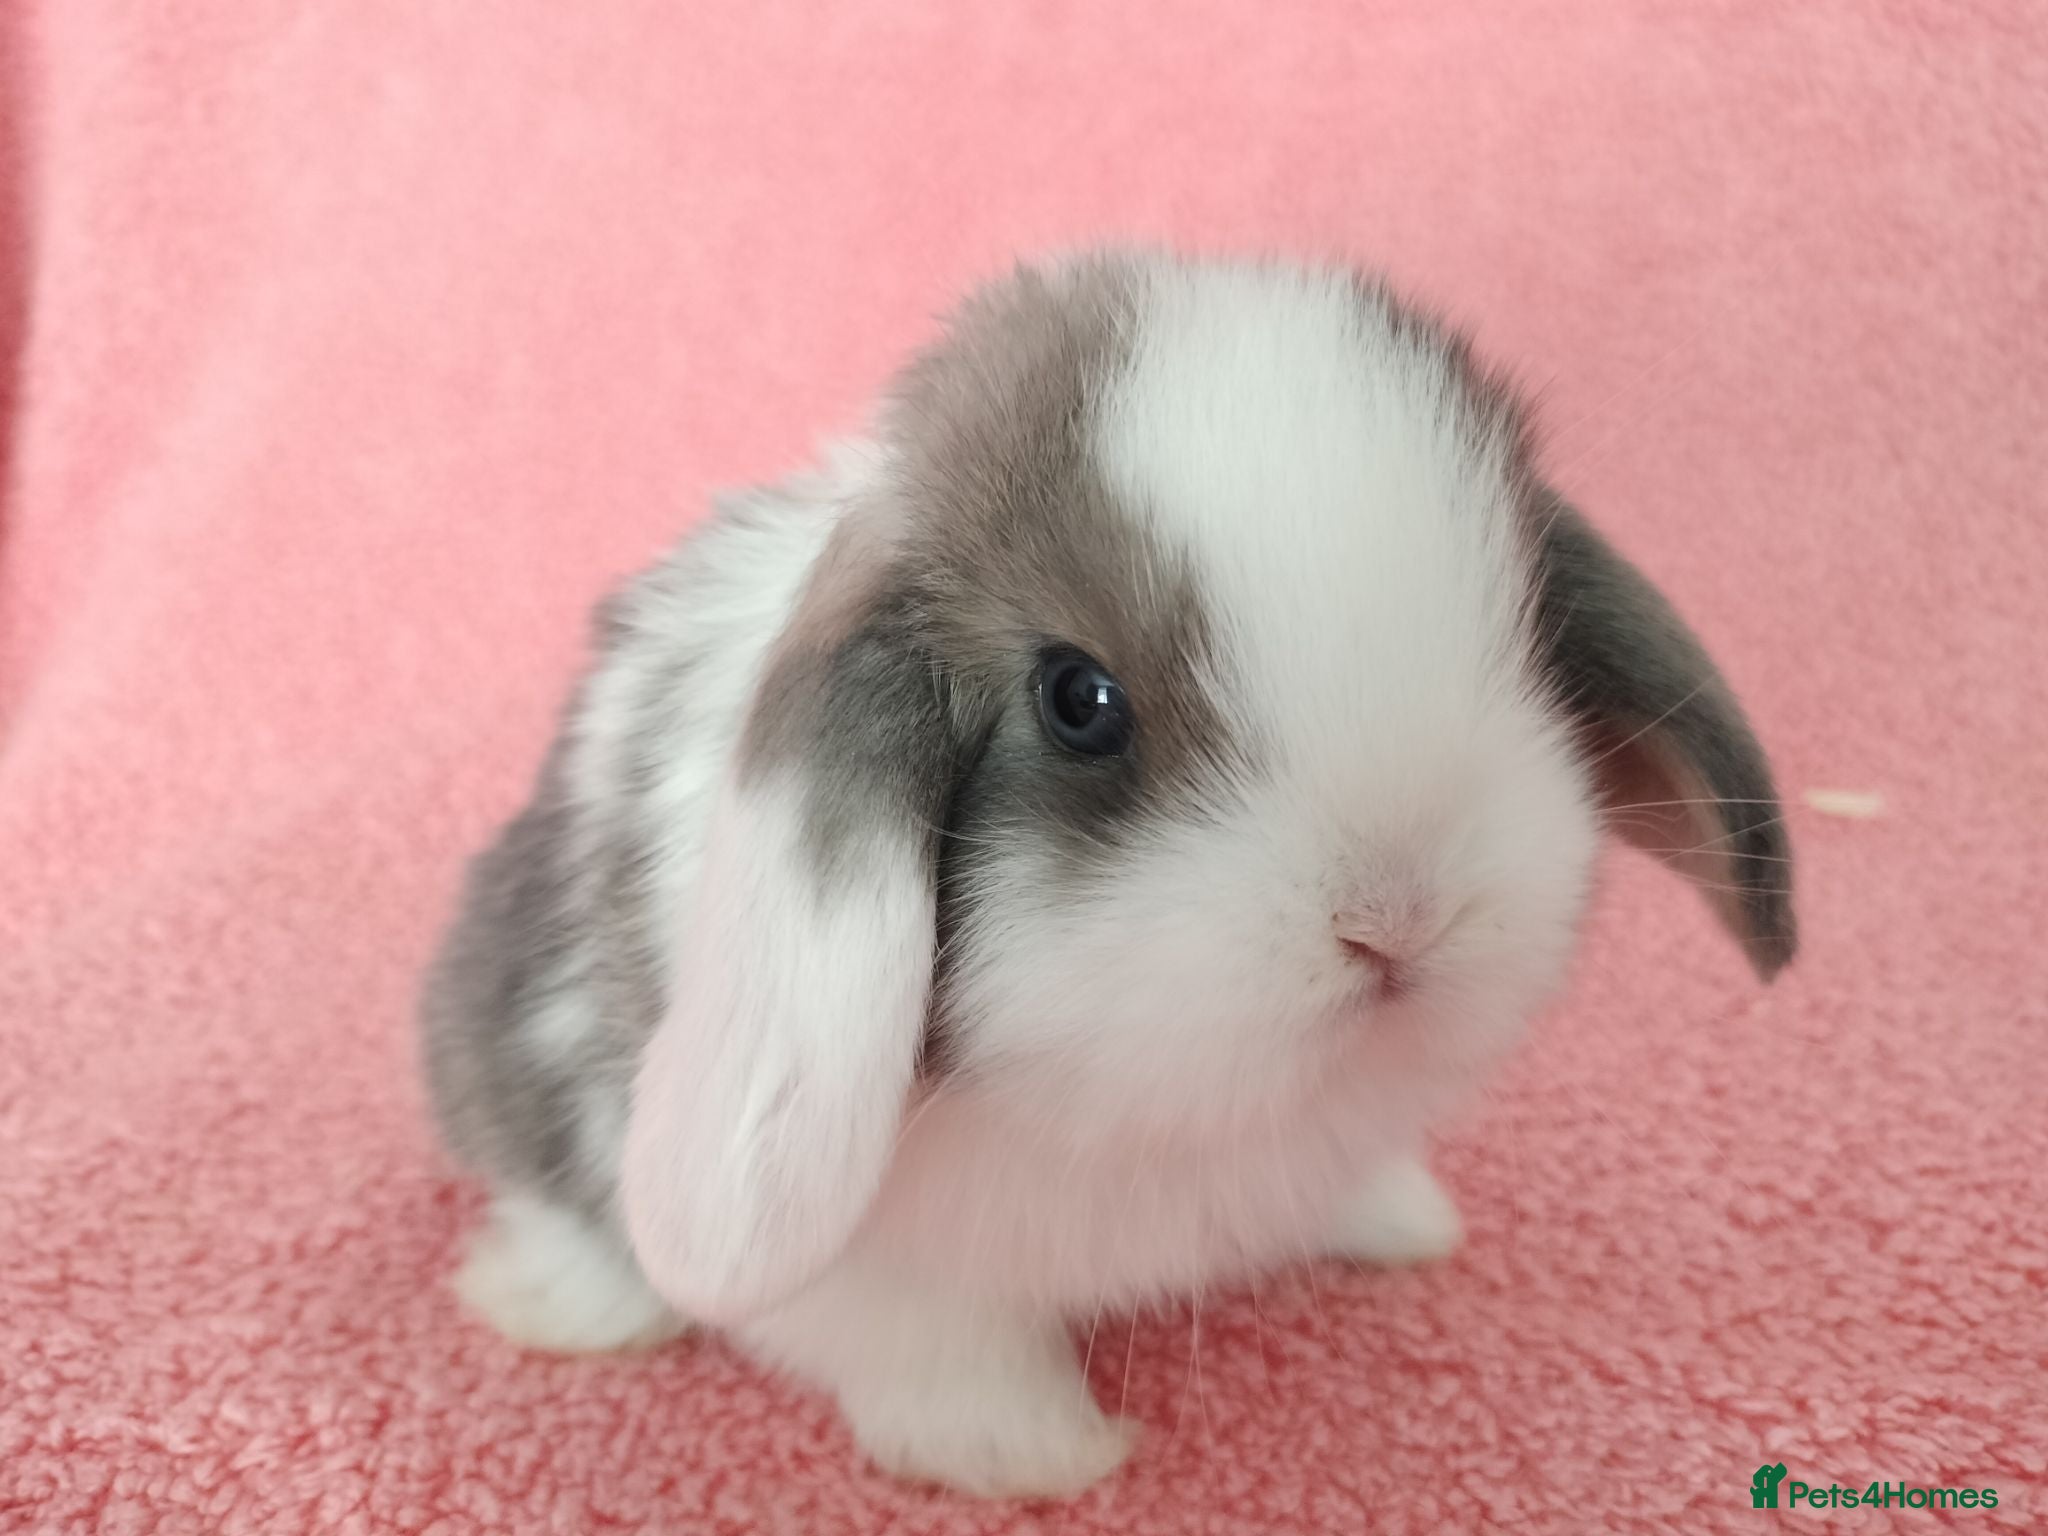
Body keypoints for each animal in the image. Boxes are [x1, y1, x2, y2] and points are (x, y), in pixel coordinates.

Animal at [420, 249, 1795, 1498]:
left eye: (1521, 631)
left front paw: (1402, 1219)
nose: (1396, 920)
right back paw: (560, 1304)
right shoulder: (871, 1274)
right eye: (1078, 702)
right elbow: (933, 1347)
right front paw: (1030, 1454)